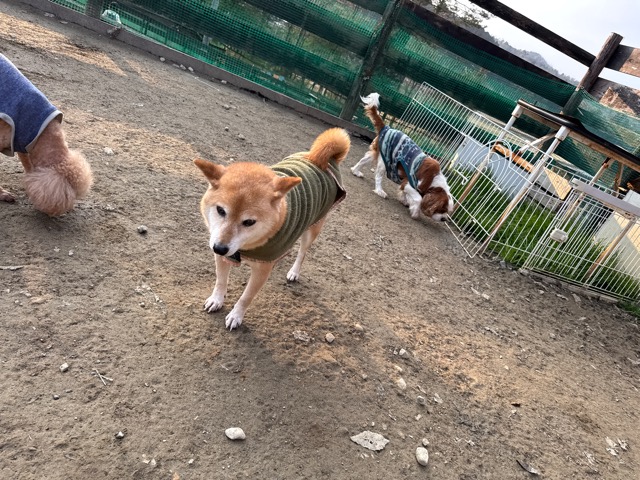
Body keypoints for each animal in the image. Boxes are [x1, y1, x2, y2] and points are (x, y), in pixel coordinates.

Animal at [194, 127, 350, 330]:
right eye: (220, 210)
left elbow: (246, 297)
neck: (246, 247)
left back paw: (294, 271)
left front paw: (236, 315)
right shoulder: (222, 252)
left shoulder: (260, 271)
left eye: (249, 222)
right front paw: (217, 300)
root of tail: (320, 159)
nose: (219, 248)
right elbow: (221, 281)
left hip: (312, 228)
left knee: (302, 252)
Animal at [350, 93, 453, 221]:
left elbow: (406, 195)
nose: (444, 219)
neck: (433, 179)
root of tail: (386, 127)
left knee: (363, 160)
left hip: (376, 152)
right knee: (378, 176)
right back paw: (380, 191)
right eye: (442, 209)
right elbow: (418, 199)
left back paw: (355, 171)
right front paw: (415, 212)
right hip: (385, 161)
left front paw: (405, 201)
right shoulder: (409, 183)